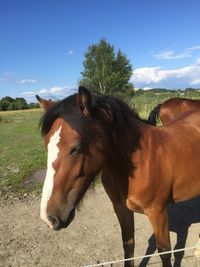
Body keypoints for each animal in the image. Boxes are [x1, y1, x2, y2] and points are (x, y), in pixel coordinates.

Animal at [36, 87, 200, 266]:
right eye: (46, 144)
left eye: (77, 147)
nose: (47, 217)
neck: (140, 162)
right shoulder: (121, 209)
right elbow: (128, 245)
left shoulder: (158, 212)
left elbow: (164, 252)